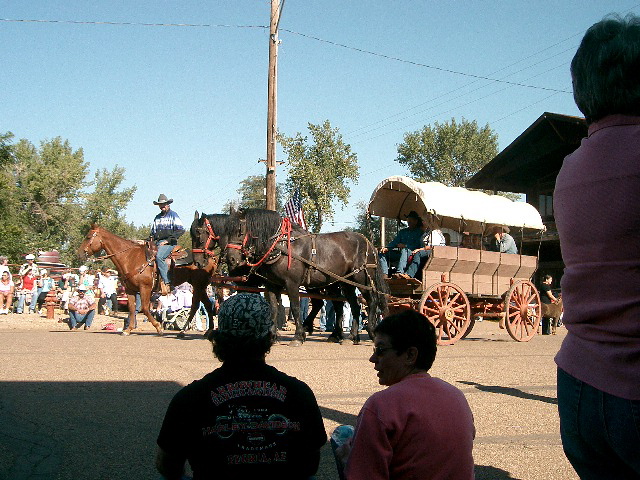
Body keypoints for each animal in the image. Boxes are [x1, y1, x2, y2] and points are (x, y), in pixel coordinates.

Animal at [220, 208, 390, 346]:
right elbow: (273, 308)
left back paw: (370, 331)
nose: (231, 259)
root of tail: (368, 243)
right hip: (345, 283)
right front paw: (272, 336)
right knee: (353, 306)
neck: (281, 246)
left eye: (240, 231)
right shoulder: (272, 285)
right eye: (226, 231)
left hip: (362, 280)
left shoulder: (292, 284)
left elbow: (295, 308)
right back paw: (351, 337)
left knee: (371, 301)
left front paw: (298, 336)